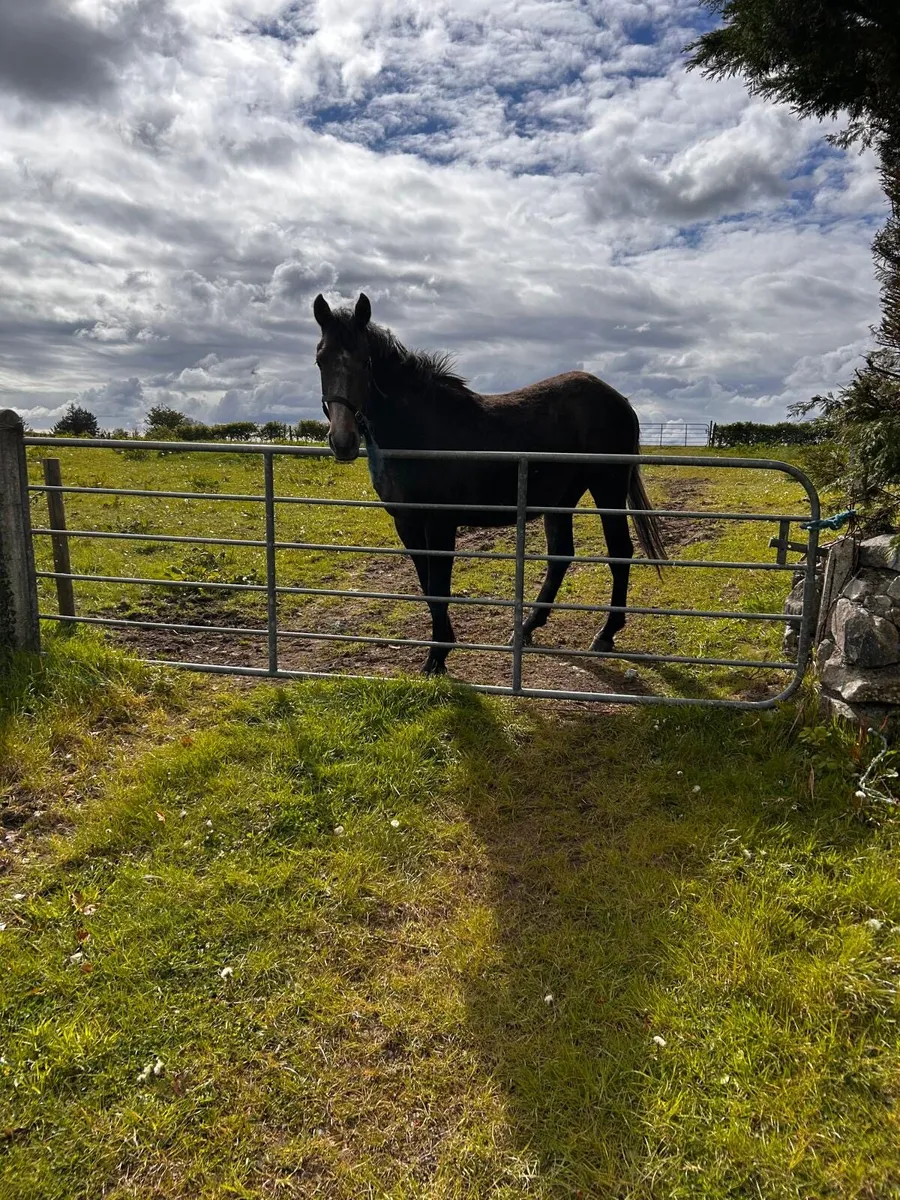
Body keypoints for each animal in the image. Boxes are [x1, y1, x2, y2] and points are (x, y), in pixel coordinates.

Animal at [313, 292, 666, 676]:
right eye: (320, 360)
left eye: (365, 363)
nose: (343, 442)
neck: (420, 427)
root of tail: (619, 401)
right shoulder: (407, 523)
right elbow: (427, 586)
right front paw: (440, 649)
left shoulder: (439, 523)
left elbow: (439, 586)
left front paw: (437, 656)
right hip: (560, 497)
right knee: (561, 556)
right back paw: (526, 628)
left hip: (608, 487)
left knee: (620, 552)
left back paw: (605, 634)